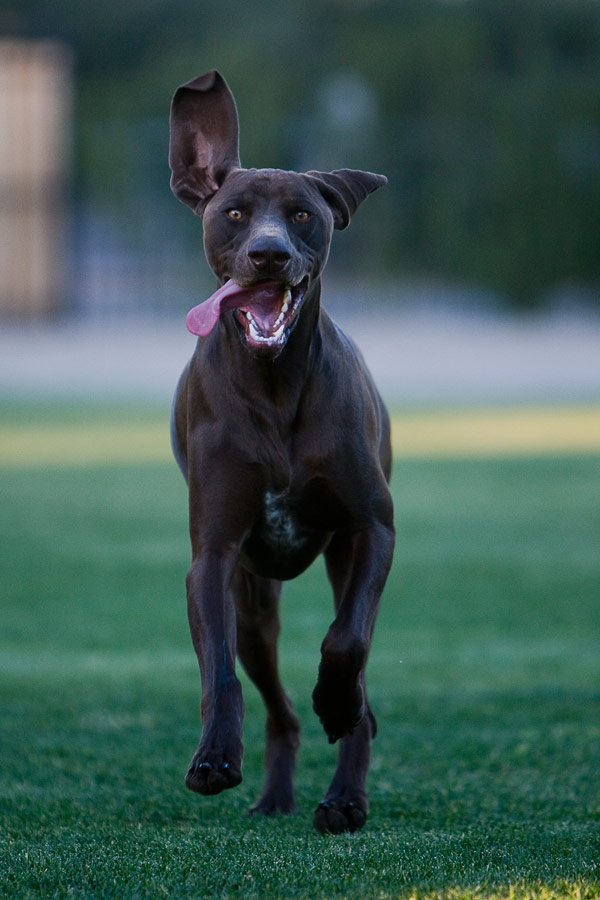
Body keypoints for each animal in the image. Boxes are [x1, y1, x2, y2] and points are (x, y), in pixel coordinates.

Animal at [168, 70, 394, 836]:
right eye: (235, 214)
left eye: (302, 215)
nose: (269, 253)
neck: (275, 388)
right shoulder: (213, 558)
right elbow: (217, 671)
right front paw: (214, 758)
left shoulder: (371, 530)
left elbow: (345, 642)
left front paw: (338, 701)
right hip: (255, 604)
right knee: (274, 702)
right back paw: (275, 793)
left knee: (357, 690)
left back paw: (344, 795)